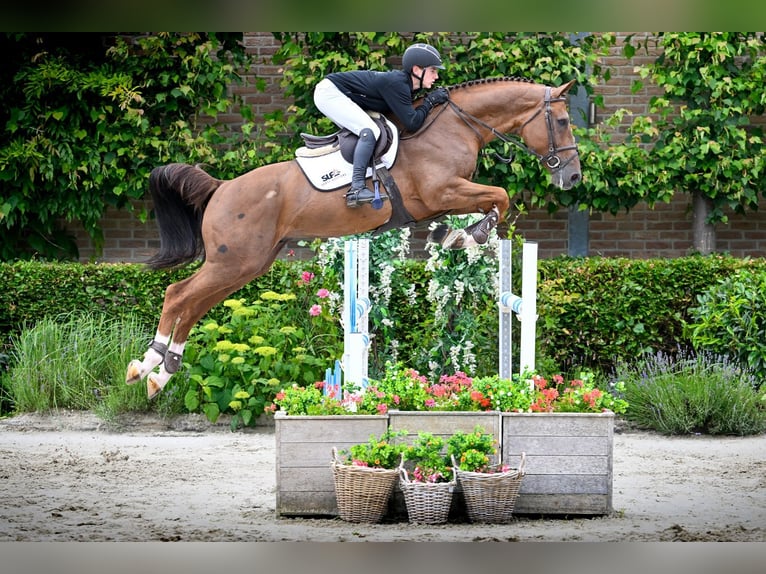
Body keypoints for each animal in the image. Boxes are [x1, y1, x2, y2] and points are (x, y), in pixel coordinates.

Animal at [126, 77, 584, 400]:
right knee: (178, 294)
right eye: (562, 122)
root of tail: (220, 188)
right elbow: (500, 196)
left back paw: (162, 374)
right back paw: (145, 365)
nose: (573, 178)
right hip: (233, 261)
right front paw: (473, 235)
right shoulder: (443, 191)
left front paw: (455, 235)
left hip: (245, 264)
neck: (456, 126)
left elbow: (486, 203)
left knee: (193, 303)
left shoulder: (443, 199)